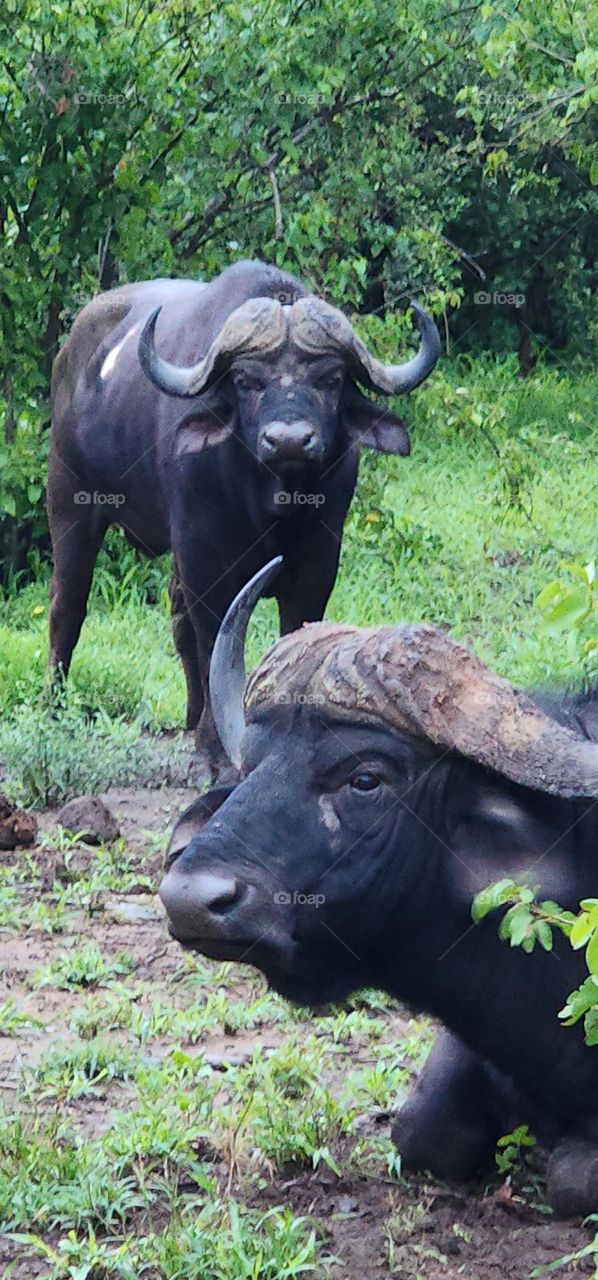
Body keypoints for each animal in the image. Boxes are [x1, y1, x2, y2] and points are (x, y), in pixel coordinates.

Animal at [47, 260, 439, 776]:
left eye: (331, 379)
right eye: (247, 381)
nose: (289, 440)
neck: (272, 498)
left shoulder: (319, 561)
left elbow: (294, 636)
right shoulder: (204, 559)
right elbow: (213, 639)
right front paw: (213, 753)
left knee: (175, 621)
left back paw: (189, 716)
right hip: (68, 500)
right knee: (68, 606)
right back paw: (55, 706)